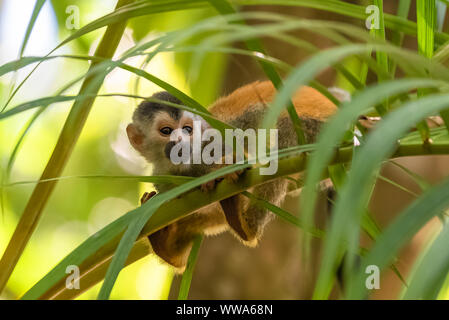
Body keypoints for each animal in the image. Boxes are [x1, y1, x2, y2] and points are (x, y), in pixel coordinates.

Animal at [126, 81, 336, 272]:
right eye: (166, 131)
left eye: (187, 129)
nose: (180, 141)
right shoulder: (163, 181)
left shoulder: (217, 137)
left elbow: (259, 123)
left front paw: (229, 165)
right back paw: (168, 251)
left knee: (285, 134)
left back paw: (247, 228)